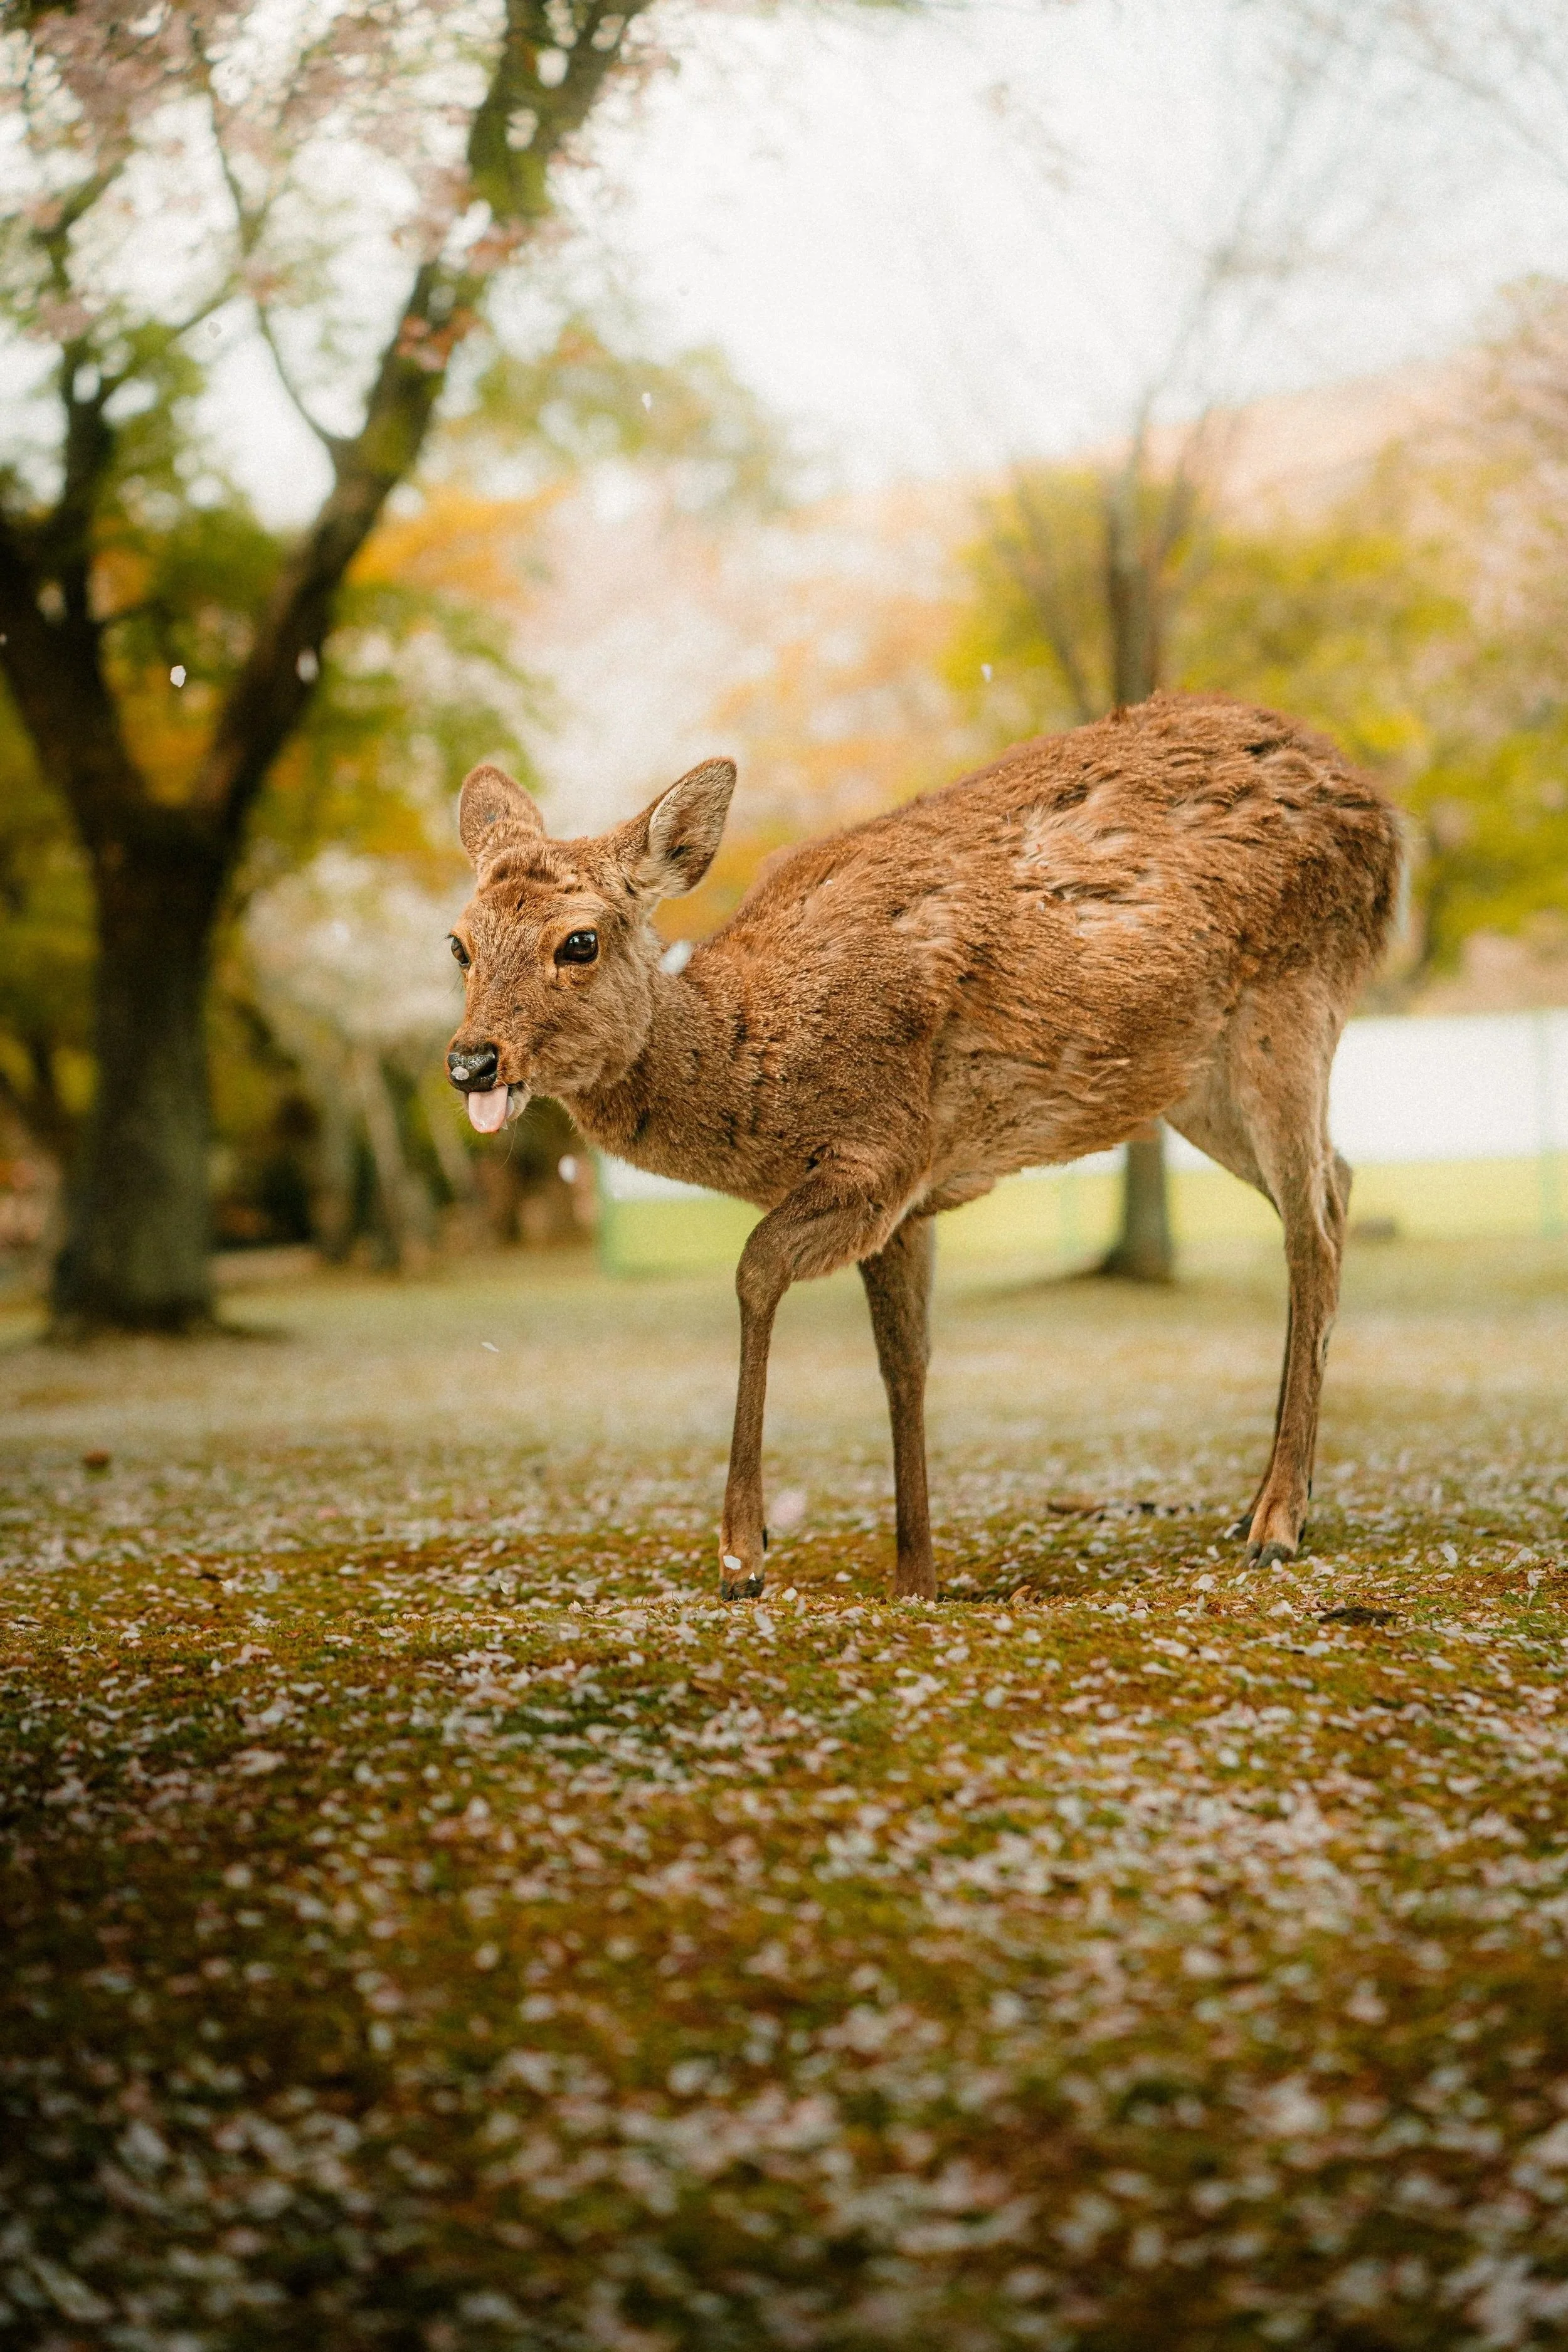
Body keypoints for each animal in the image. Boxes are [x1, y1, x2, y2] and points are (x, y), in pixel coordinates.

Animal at [445, 694, 1401, 1602]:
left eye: (579, 940)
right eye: (457, 943)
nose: (471, 1060)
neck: (762, 1067)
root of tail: (1385, 821)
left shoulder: (882, 1152)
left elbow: (755, 1269)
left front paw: (743, 1554)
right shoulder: (907, 1202)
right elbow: (903, 1360)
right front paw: (917, 1576)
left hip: (1290, 1001)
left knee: (1312, 1226)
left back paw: (1277, 1522)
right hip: (1197, 1083)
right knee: (1340, 1181)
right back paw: (1263, 1501)